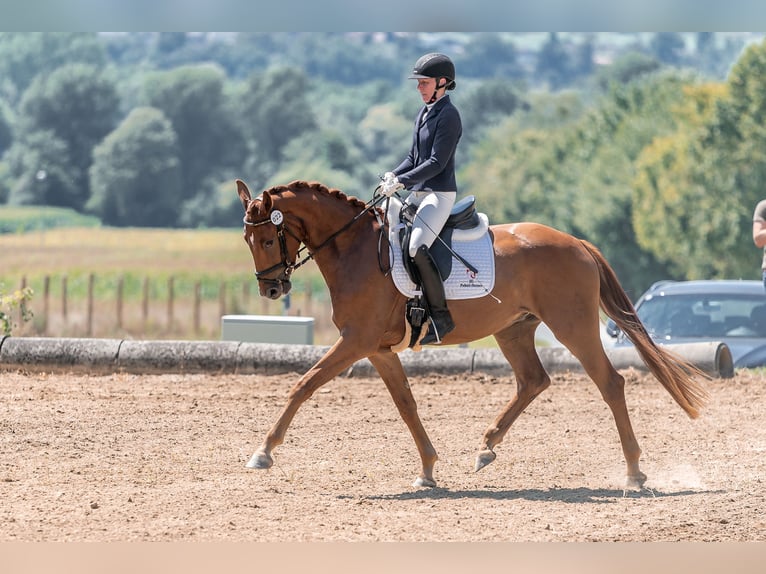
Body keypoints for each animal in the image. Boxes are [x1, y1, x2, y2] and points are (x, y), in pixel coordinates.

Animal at [237, 179, 712, 490]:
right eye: (246, 239)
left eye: (267, 240)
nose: (271, 289)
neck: (356, 250)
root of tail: (577, 242)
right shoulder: (378, 349)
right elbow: (406, 404)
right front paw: (428, 470)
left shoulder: (355, 341)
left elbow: (303, 385)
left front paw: (264, 452)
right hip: (514, 330)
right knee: (533, 381)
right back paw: (487, 447)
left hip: (572, 325)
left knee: (610, 383)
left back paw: (634, 473)